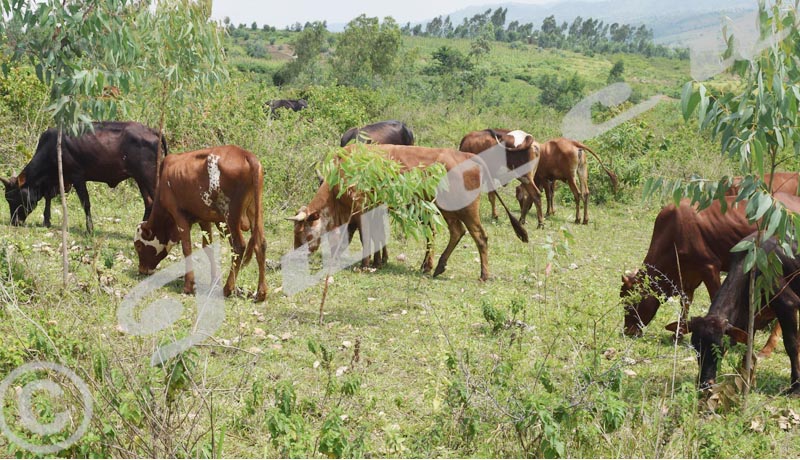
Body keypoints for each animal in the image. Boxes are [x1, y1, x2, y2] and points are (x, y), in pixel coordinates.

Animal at [2, 121, 166, 234]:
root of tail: (153, 131)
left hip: (150, 176)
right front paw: (46, 221)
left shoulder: (77, 177)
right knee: (149, 202)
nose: (14, 222)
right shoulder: (57, 181)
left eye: (13, 197)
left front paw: (90, 229)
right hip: (140, 178)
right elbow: (48, 198)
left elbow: (85, 203)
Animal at [133, 145, 268, 302]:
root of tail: (245, 154)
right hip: (255, 213)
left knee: (238, 246)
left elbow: (187, 249)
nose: (142, 269)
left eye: (138, 245)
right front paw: (214, 280)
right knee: (260, 244)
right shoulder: (204, 219)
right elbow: (207, 248)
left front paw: (188, 286)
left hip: (231, 216)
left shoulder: (179, 216)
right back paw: (261, 293)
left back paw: (228, 289)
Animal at [284, 144, 528, 280]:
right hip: (449, 210)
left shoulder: (362, 210)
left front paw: (365, 264)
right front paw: (378, 261)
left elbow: (366, 237)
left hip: (465, 210)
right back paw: (438, 266)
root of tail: (468, 156)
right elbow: (377, 236)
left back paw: (482, 274)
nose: (296, 254)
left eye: (301, 231)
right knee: (458, 232)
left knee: (479, 236)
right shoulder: (375, 210)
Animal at [664, 235, 800, 394]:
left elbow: (791, 345)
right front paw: (745, 383)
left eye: (721, 347)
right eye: (696, 346)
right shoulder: (750, 319)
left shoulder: (788, 306)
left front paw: (795, 387)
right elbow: (748, 351)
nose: (705, 384)